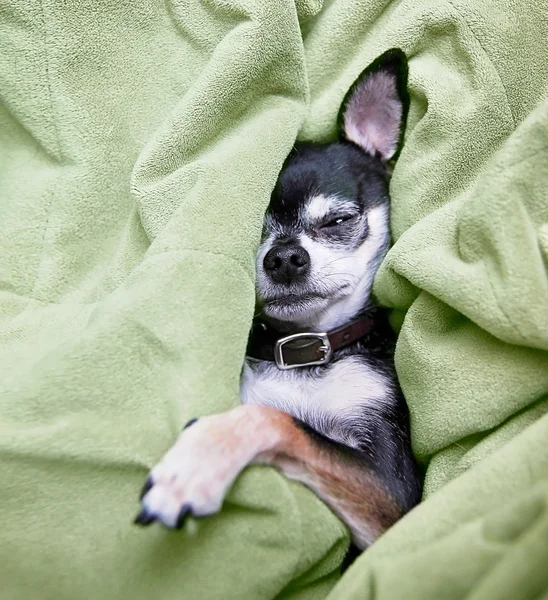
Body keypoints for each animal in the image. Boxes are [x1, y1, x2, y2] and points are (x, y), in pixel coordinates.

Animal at [135, 49, 422, 552]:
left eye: (338, 220)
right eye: (252, 229)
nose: (284, 258)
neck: (305, 350)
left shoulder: (394, 495)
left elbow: (276, 420)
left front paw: (194, 465)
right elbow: (277, 415)